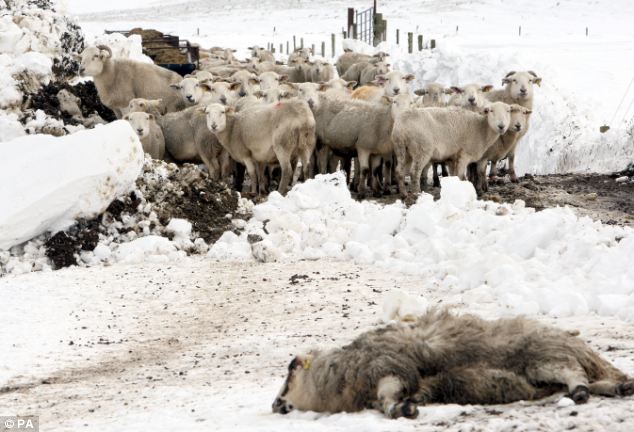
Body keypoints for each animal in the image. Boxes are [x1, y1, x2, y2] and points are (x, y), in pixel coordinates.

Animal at [272, 308, 632, 420]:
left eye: (289, 372)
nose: (275, 405)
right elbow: (397, 398)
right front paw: (407, 405)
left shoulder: (389, 367)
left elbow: (390, 397)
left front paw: (401, 409)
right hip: (546, 367)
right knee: (593, 380)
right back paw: (618, 387)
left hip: (543, 357)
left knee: (575, 373)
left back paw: (582, 391)